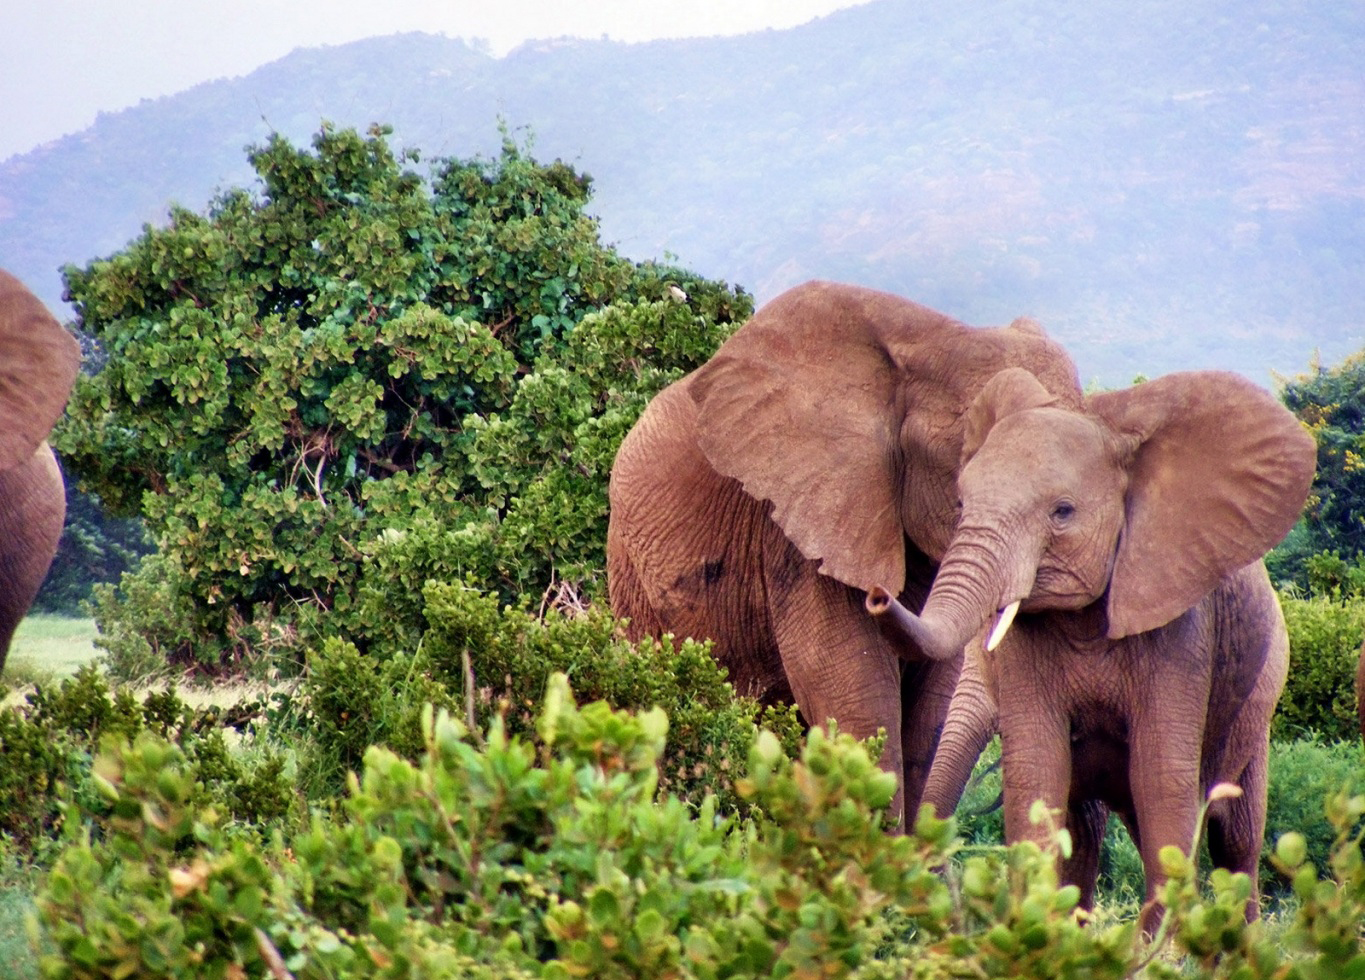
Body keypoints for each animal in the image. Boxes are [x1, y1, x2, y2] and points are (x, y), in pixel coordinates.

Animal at [868, 363, 1315, 928]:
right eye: (961, 504)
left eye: (1062, 511)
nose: (877, 595)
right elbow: (1039, 776)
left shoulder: (1183, 627)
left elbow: (1162, 779)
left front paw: (1158, 951)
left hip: (1260, 699)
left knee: (1235, 839)